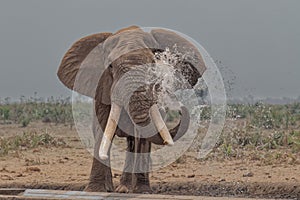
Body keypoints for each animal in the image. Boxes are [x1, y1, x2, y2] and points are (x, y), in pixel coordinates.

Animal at [56, 25, 206, 193]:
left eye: (153, 64)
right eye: (110, 66)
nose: (181, 109)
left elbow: (141, 136)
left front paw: (142, 191)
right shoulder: (102, 88)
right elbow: (102, 128)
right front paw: (95, 190)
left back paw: (125, 189)